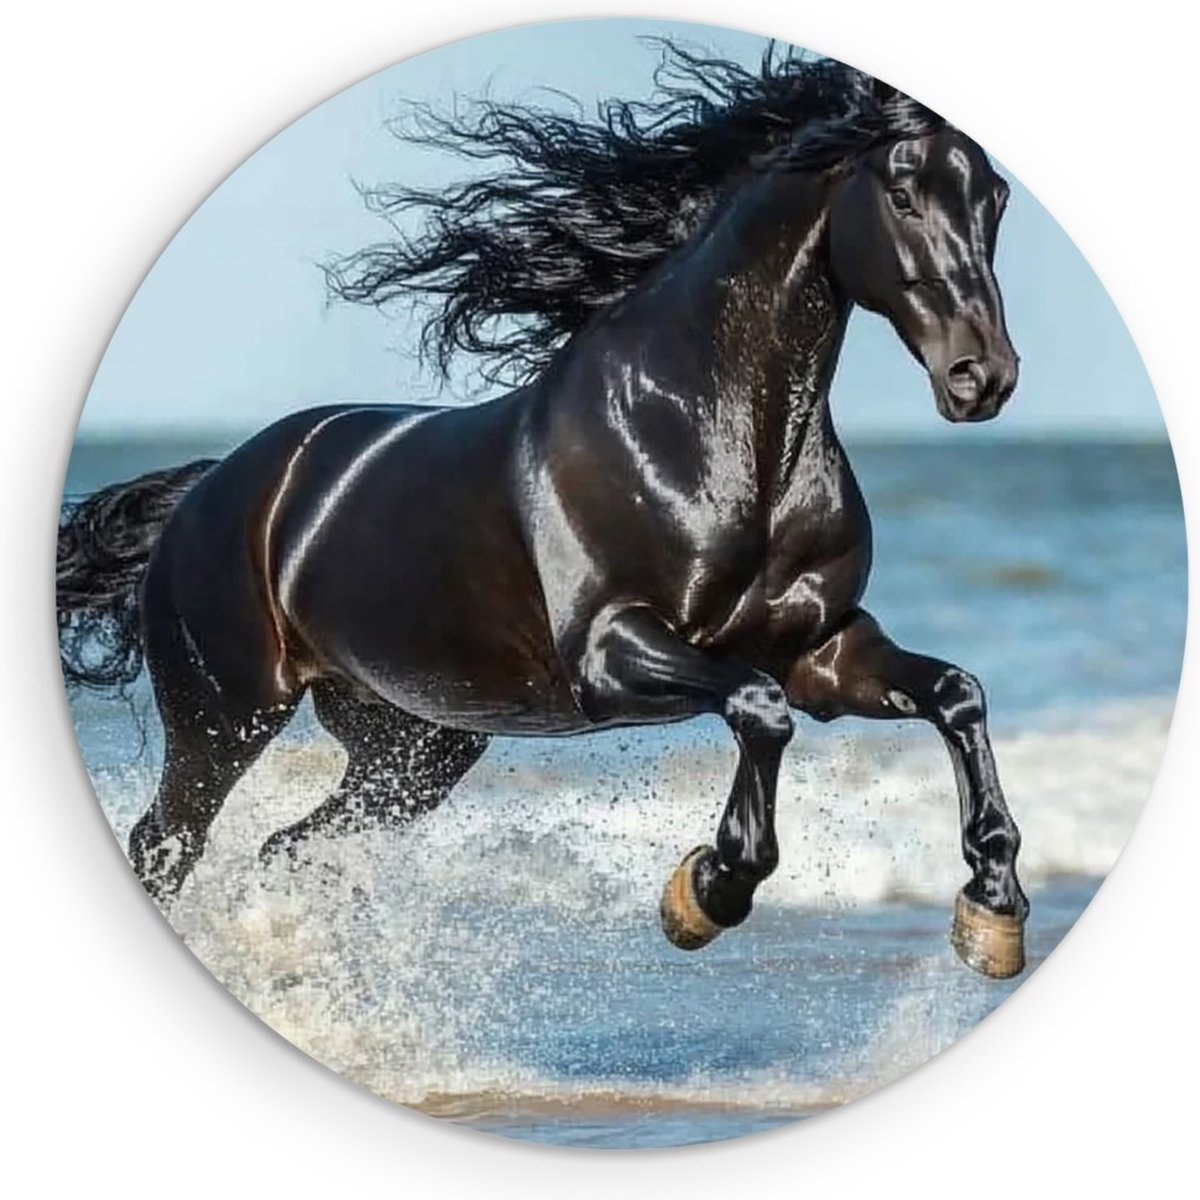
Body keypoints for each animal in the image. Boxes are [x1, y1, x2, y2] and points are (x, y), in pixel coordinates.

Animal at [58, 44, 1027, 978]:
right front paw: (707, 890)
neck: (713, 439)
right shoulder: (610, 652)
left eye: (995, 198)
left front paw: (993, 906)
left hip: (414, 747)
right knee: (168, 843)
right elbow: (759, 710)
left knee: (292, 846)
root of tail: (213, 486)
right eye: (902, 191)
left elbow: (957, 694)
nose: (982, 377)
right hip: (227, 716)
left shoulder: (822, 651)